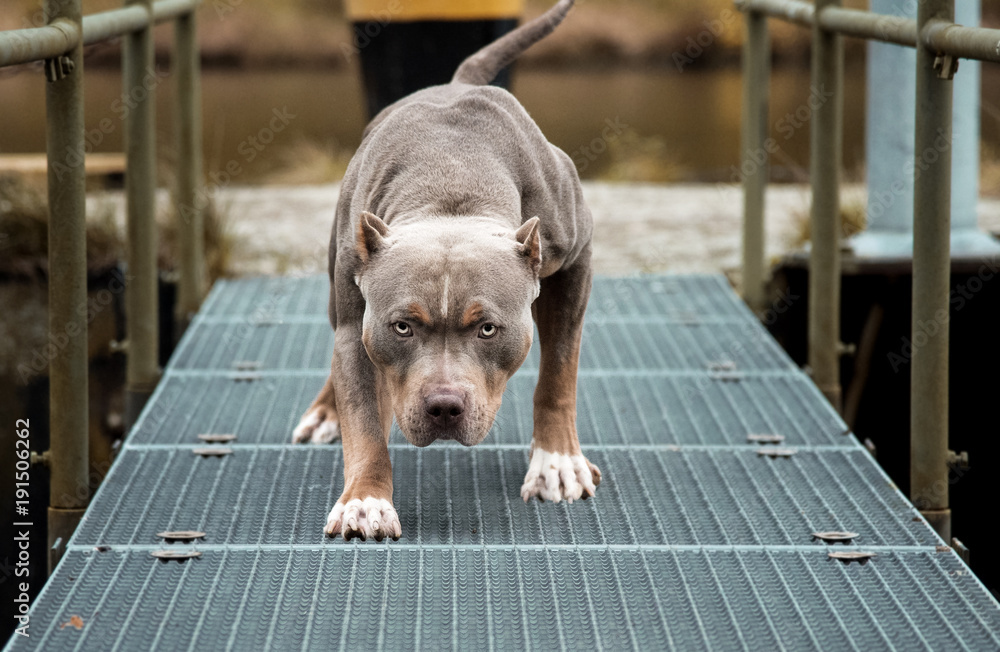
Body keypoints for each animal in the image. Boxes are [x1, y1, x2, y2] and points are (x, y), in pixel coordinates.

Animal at [292, 0, 600, 540]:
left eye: (488, 328)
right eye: (402, 327)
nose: (443, 407)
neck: (451, 182)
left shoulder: (575, 261)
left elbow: (559, 372)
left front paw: (557, 462)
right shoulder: (358, 323)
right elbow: (363, 416)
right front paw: (365, 500)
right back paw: (328, 411)